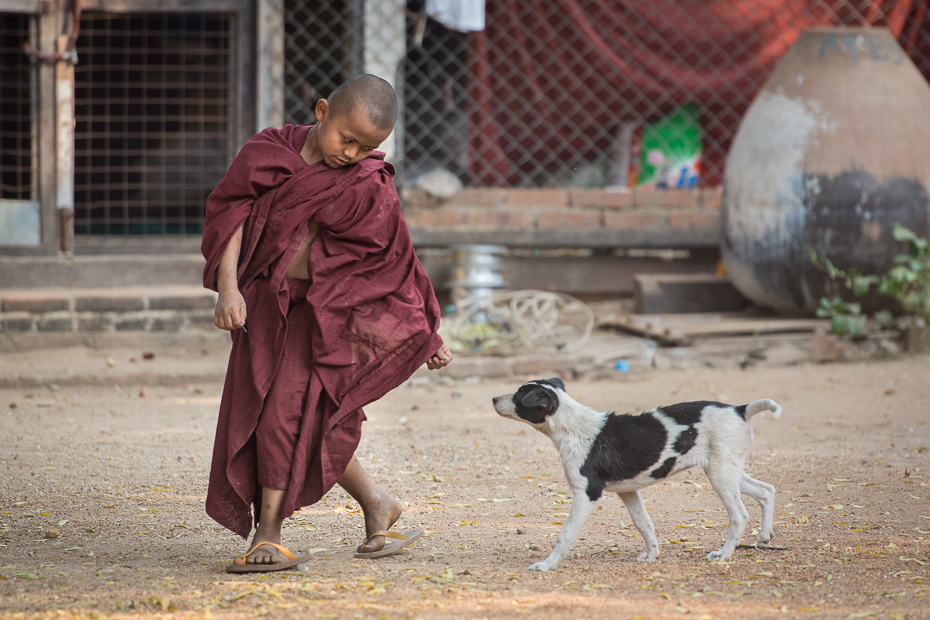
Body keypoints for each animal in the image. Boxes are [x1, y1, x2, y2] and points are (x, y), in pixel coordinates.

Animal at [490, 378, 780, 572]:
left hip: (720, 475)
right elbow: (644, 524)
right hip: (727, 470)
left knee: (739, 515)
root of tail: (741, 409)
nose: (492, 399)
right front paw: (652, 556)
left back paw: (724, 555)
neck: (573, 427)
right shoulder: (628, 491)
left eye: (520, 395)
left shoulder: (586, 493)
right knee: (767, 490)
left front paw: (547, 565)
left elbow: (566, 533)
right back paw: (763, 538)